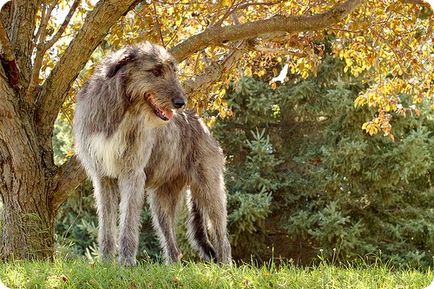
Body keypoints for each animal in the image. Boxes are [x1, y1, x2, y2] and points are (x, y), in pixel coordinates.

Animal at [73, 41, 231, 264]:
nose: (180, 103)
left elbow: (128, 221)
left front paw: (126, 263)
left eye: (173, 71)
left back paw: (226, 265)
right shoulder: (102, 176)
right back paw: (173, 266)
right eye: (156, 71)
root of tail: (201, 124)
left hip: (208, 187)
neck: (121, 109)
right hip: (161, 201)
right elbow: (106, 225)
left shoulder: (133, 173)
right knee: (171, 243)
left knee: (220, 233)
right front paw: (106, 262)